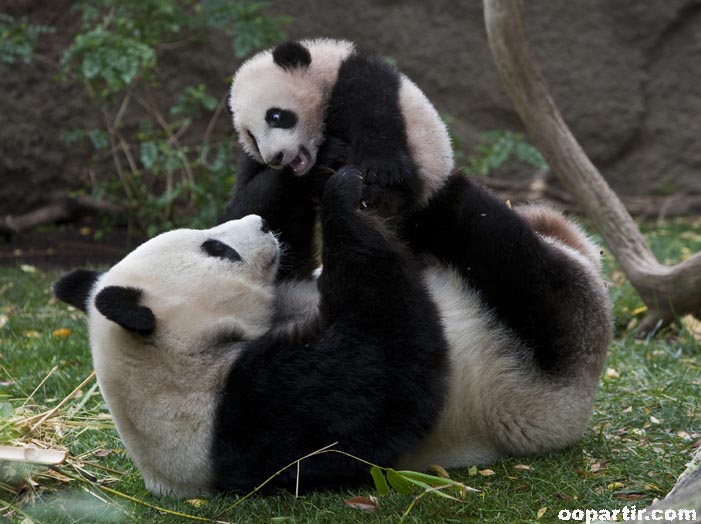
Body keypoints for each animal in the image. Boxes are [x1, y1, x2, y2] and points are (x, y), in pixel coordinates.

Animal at [54, 166, 608, 498]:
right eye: (217, 249)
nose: (258, 225)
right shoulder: (254, 413)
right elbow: (389, 370)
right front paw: (342, 194)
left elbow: (298, 255)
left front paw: (288, 171)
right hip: (544, 366)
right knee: (517, 268)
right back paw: (453, 193)